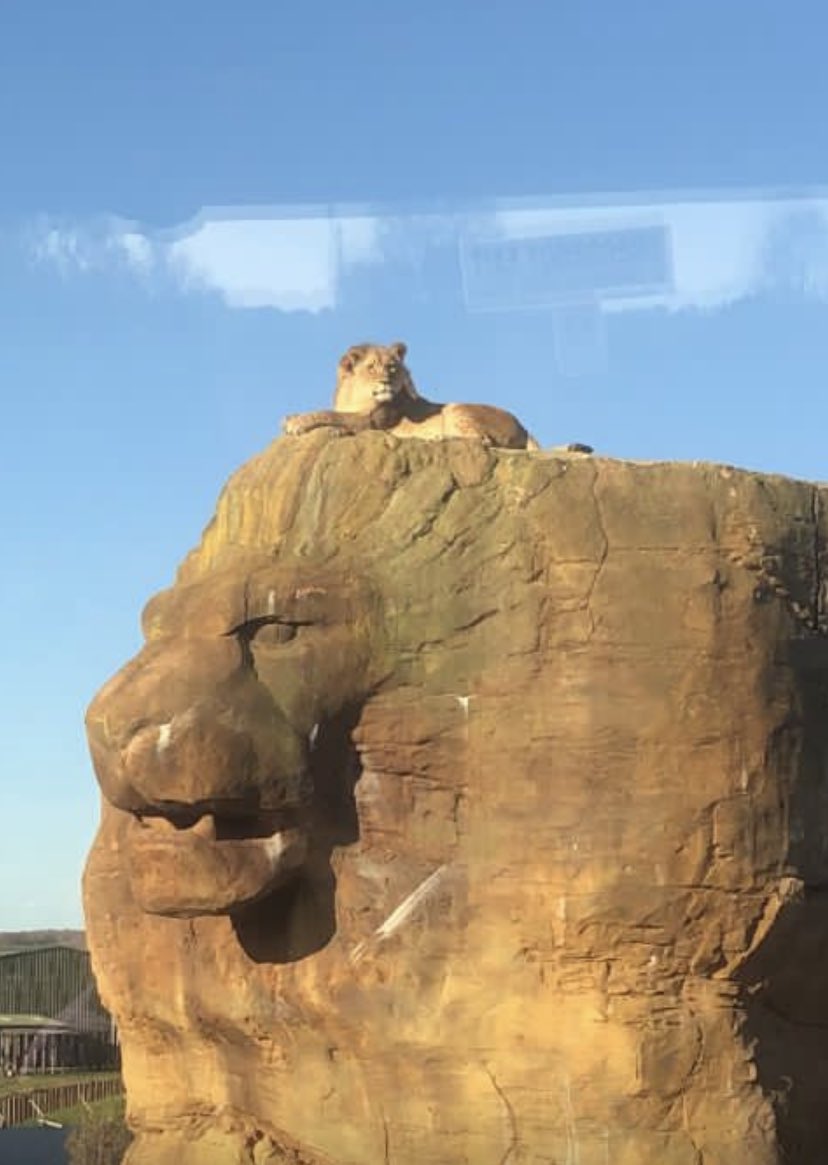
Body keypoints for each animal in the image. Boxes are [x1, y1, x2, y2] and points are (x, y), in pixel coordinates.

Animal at [282, 341, 549, 450]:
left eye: (392, 367)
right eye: (372, 367)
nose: (386, 381)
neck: (353, 395)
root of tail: (524, 426)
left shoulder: (372, 421)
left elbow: (329, 414)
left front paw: (296, 422)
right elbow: (332, 413)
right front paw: (292, 418)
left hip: (455, 408)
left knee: (482, 440)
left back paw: (437, 438)